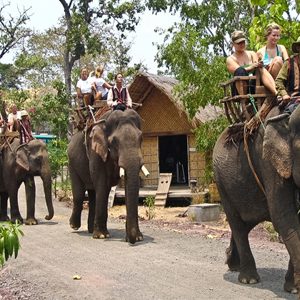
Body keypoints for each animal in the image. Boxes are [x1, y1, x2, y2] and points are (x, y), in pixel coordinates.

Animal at [67, 109, 149, 245]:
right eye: (114, 141)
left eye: (141, 138)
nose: (131, 241)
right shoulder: (96, 151)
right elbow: (102, 184)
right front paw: (101, 236)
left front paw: (138, 237)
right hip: (72, 164)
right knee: (79, 194)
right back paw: (74, 226)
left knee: (93, 194)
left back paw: (91, 230)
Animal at [213, 104, 300, 294]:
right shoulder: (269, 163)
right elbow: (283, 217)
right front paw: (296, 289)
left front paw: (292, 289)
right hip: (221, 184)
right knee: (237, 223)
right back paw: (248, 279)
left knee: (246, 224)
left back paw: (232, 263)